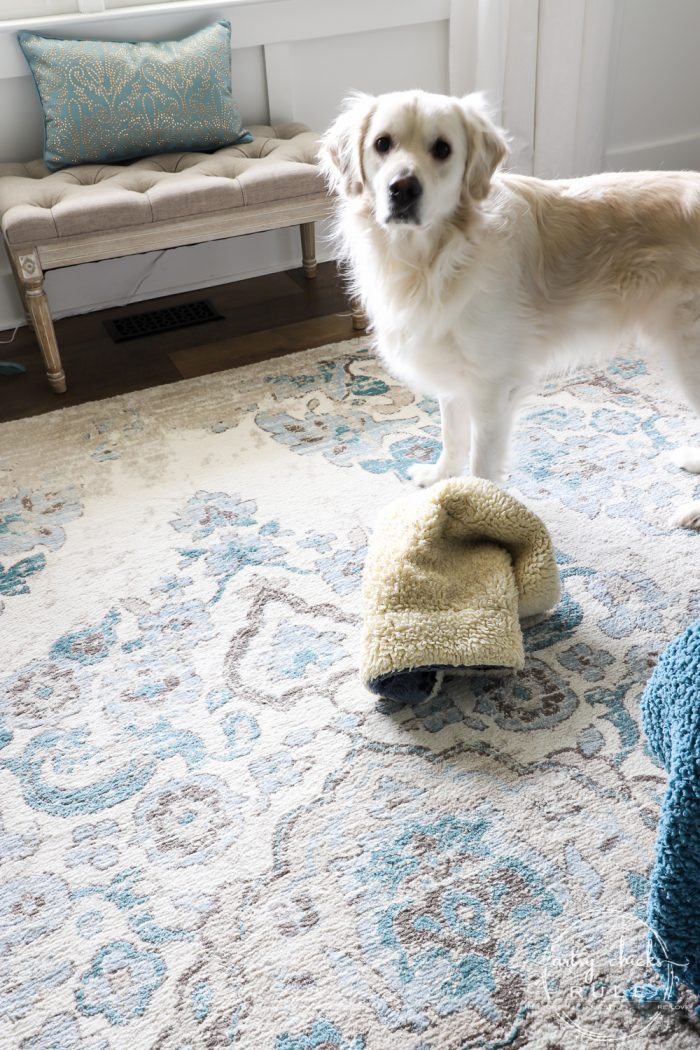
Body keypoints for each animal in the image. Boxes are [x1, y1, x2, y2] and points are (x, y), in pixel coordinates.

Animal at [321, 89, 700, 529]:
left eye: (442, 149)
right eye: (383, 143)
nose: (403, 188)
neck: (433, 259)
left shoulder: (491, 384)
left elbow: (482, 462)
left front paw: (476, 514)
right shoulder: (453, 368)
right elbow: (452, 434)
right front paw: (439, 476)